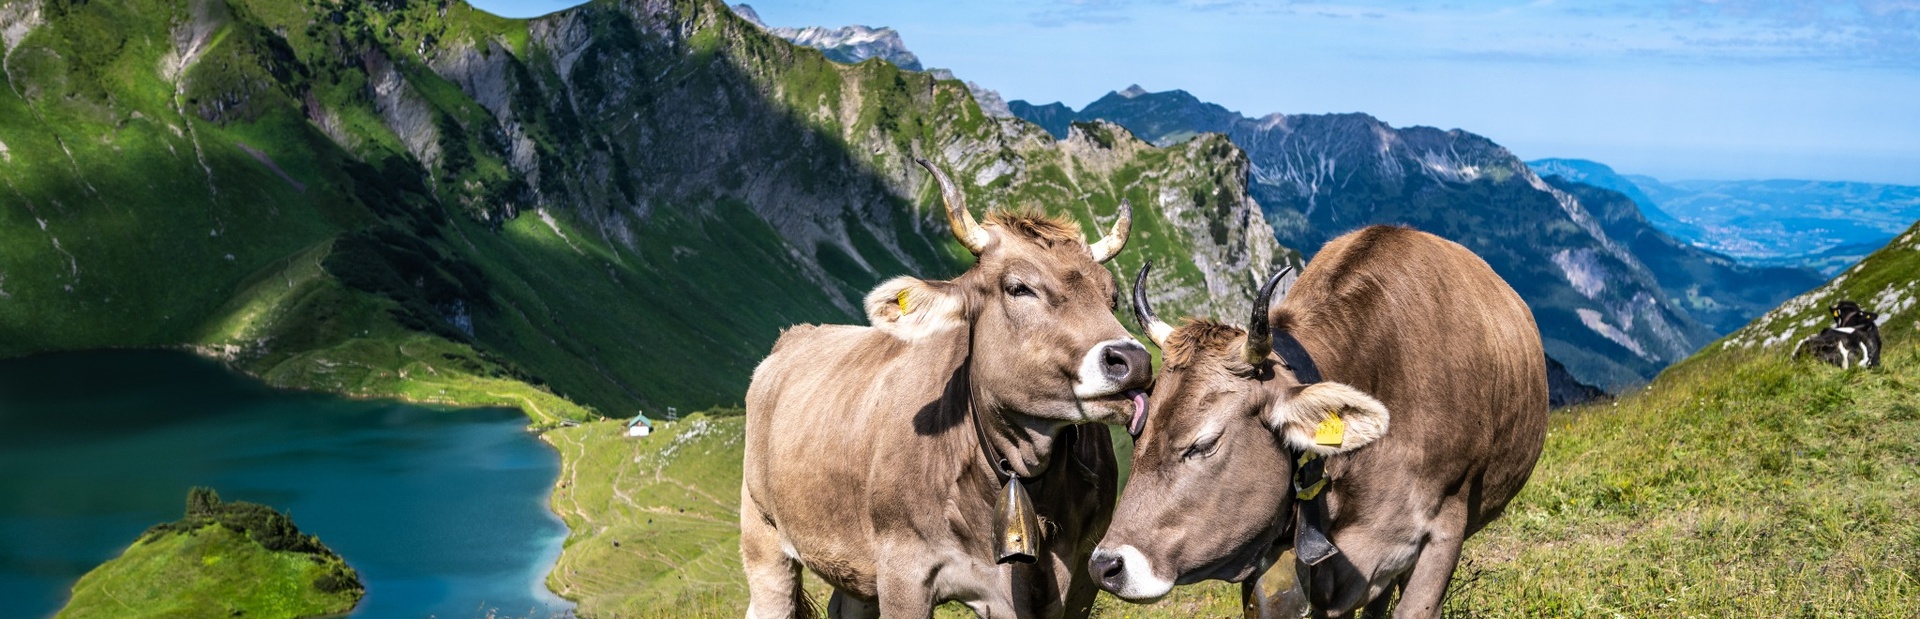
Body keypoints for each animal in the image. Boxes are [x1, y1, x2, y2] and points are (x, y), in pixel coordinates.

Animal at [740, 159, 1155, 618]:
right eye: (1018, 287)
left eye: (1112, 296)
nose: (1133, 361)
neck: (1023, 473)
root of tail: (794, 336)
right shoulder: (903, 573)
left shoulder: (1078, 578)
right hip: (762, 534)